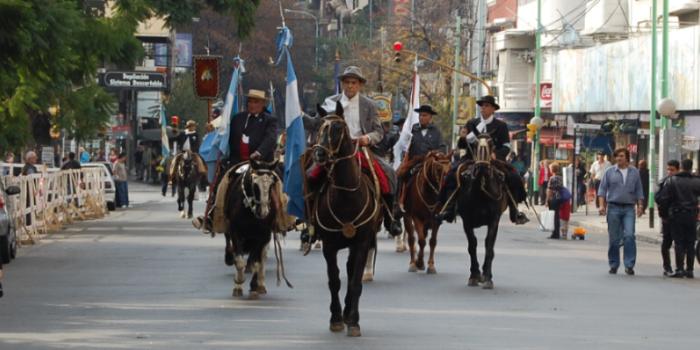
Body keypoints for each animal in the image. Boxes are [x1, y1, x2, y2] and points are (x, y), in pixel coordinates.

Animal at [223, 159, 280, 298]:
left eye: (271, 184)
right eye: (255, 184)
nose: (264, 212)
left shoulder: (263, 235)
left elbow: (256, 261)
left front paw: (254, 285)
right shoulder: (235, 232)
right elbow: (239, 260)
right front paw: (238, 282)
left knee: (262, 257)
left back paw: (260, 284)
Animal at [306, 102, 382, 338]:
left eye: (338, 128)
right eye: (318, 127)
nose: (320, 154)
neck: (347, 196)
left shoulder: (362, 242)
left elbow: (355, 281)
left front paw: (354, 321)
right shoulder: (329, 245)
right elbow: (334, 280)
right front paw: (336, 319)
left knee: (351, 272)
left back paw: (350, 313)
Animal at [454, 134, 508, 290]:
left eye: (491, 144)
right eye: (475, 144)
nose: (482, 167)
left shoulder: (494, 220)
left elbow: (489, 245)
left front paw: (487, 277)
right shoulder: (466, 221)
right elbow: (472, 245)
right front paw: (474, 275)